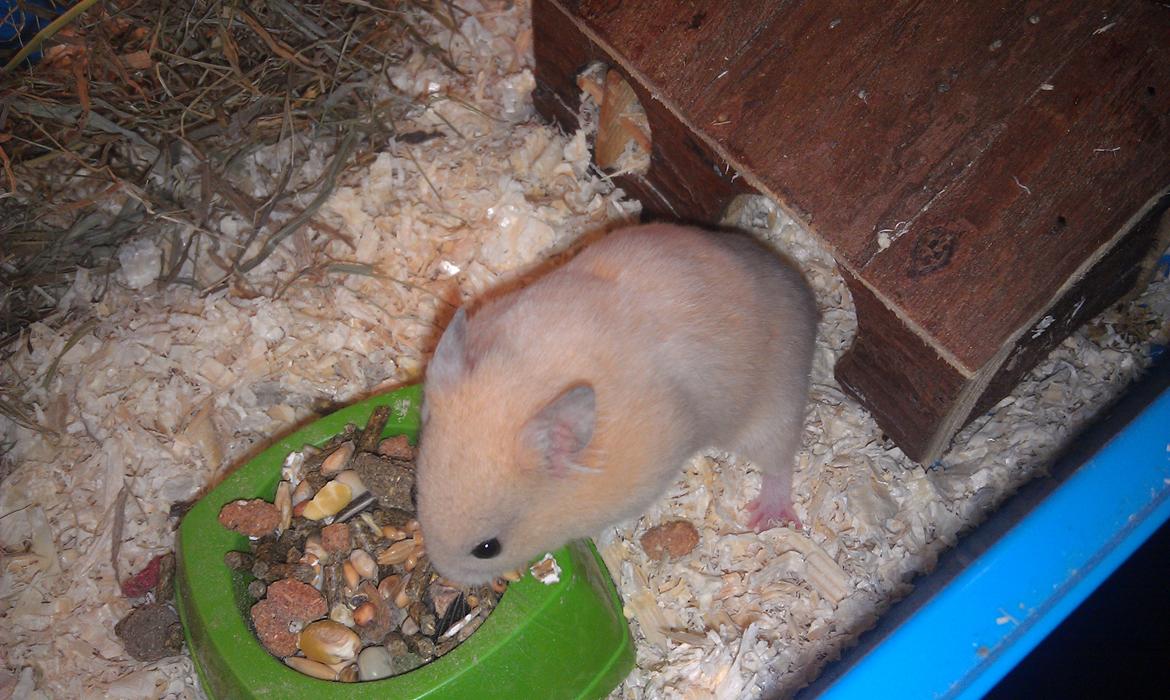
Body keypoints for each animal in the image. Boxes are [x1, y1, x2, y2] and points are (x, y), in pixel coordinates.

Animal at [416, 223, 818, 584]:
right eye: (414, 495)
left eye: (487, 548)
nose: (445, 574)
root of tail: (804, 292)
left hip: (775, 404)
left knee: (780, 461)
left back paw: (767, 516)